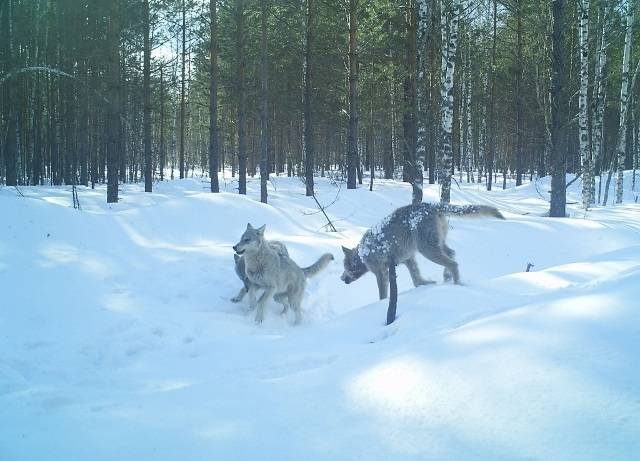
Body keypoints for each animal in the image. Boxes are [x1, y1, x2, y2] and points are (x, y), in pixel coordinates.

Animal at [340, 202, 504, 298]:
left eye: (345, 267)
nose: (341, 279)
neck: (363, 253)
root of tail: (431, 205)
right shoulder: (408, 260)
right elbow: (417, 281)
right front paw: (427, 283)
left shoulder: (381, 273)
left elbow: (383, 295)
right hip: (436, 245)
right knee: (452, 254)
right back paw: (447, 277)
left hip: (427, 250)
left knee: (453, 263)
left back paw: (457, 285)